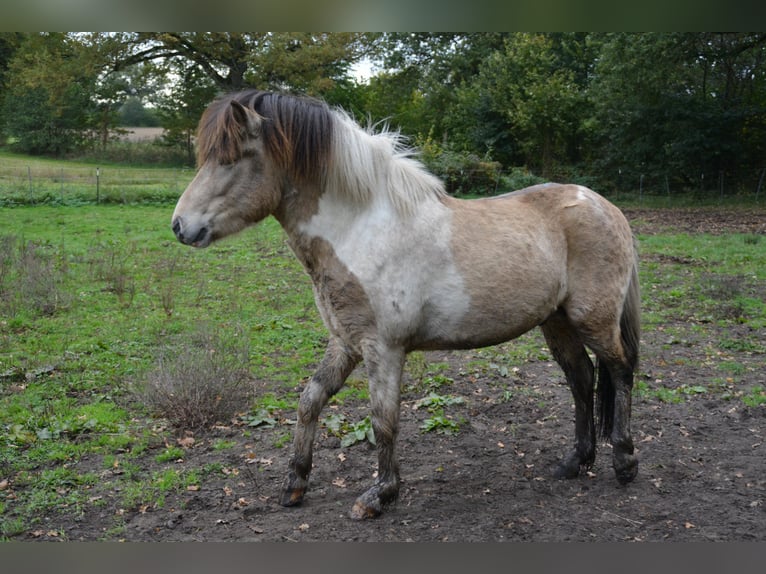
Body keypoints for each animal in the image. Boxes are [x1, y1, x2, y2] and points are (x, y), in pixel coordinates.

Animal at [171, 89, 640, 520]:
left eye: (230, 159)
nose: (179, 226)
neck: (361, 230)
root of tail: (606, 207)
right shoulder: (345, 343)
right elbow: (310, 401)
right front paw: (295, 484)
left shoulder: (384, 349)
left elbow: (383, 420)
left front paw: (379, 495)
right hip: (556, 322)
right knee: (581, 379)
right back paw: (574, 462)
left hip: (592, 319)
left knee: (619, 372)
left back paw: (624, 462)